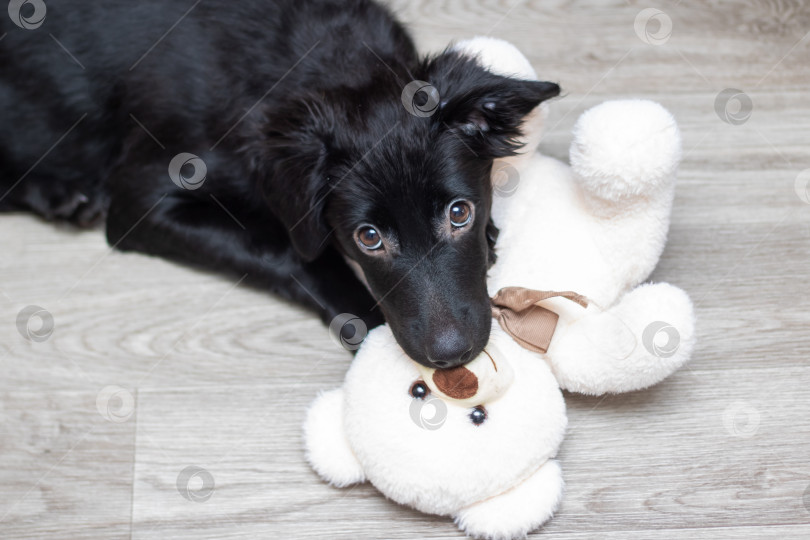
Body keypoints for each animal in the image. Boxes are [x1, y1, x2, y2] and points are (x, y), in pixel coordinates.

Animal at [0, 0, 560, 368]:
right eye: (368, 238)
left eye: (460, 213)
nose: (452, 357)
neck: (325, 62)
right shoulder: (142, 198)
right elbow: (285, 248)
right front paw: (362, 319)